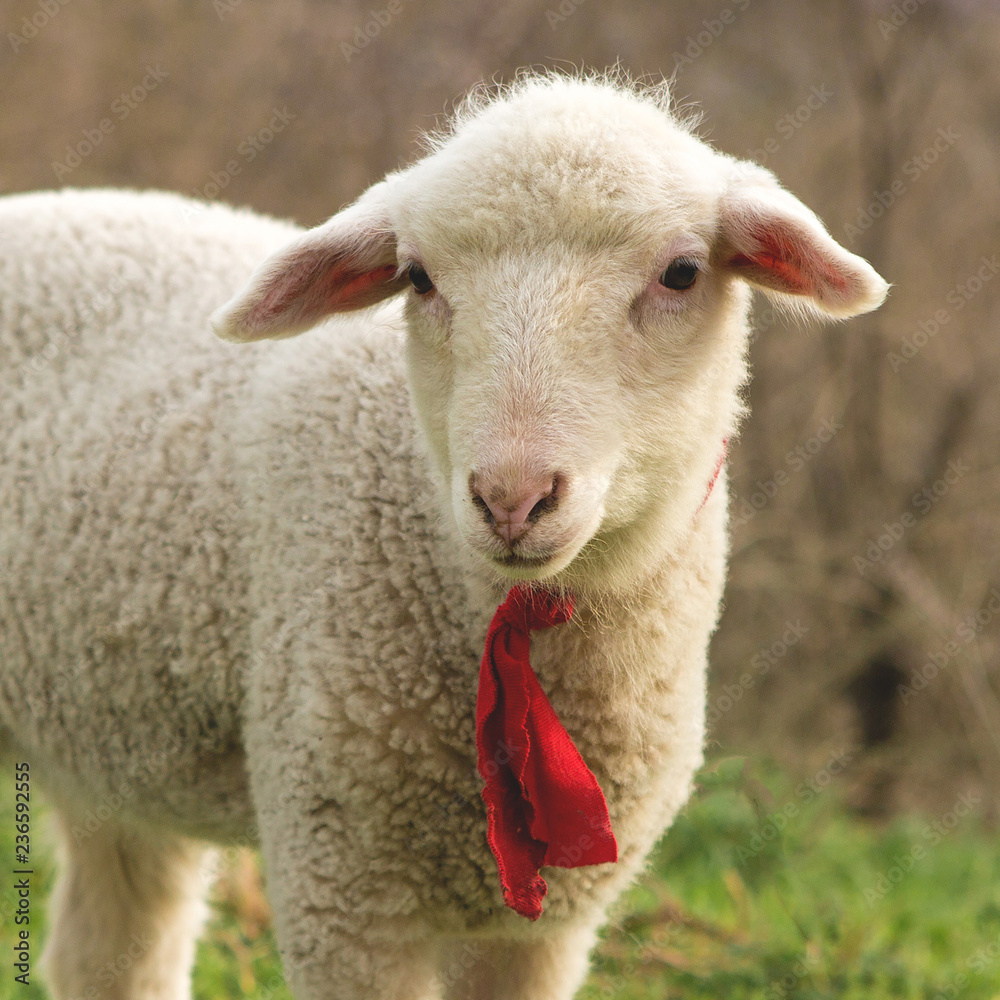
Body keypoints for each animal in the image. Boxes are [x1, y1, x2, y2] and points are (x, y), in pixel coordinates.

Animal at [1, 72, 892, 1000]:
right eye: (419, 278)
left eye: (681, 273)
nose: (511, 497)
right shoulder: (341, 873)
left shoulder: (546, 920)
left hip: (110, 749)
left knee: (108, 952)